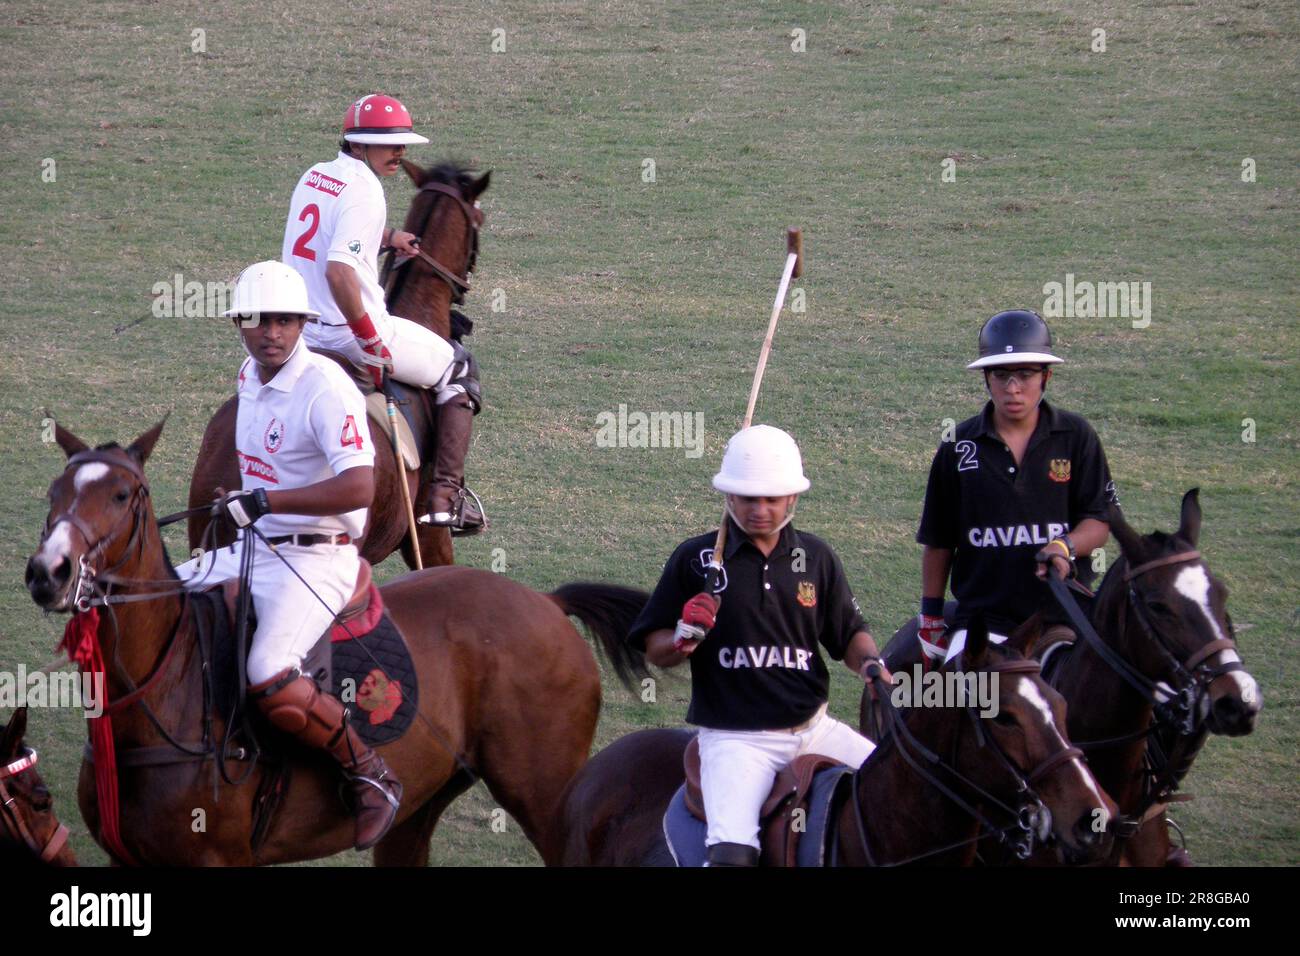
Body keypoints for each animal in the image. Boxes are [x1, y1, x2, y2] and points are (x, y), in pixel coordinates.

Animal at [22, 421, 647, 868]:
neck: (168, 686)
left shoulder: (216, 858)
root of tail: (548, 602)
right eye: (53, 491)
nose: (49, 572)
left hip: (546, 795)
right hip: (423, 802)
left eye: (125, 494)